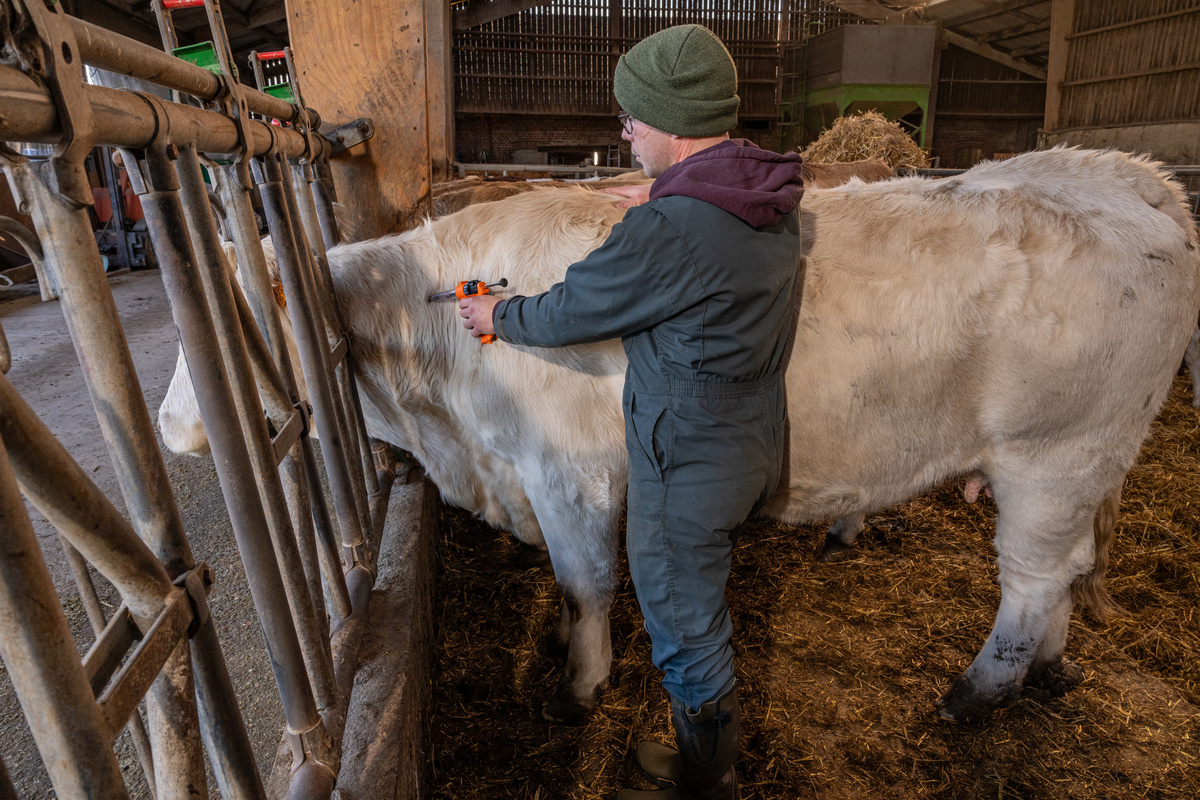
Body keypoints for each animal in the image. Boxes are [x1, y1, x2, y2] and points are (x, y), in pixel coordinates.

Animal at [159, 147, 1200, 725]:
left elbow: (584, 585)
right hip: (1083, 469)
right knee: (1065, 576)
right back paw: (1048, 671)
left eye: (224, 328)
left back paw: (975, 696)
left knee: (1030, 583)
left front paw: (578, 685)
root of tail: (1126, 178)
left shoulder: (571, 476)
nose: (170, 430)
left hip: (1054, 456)